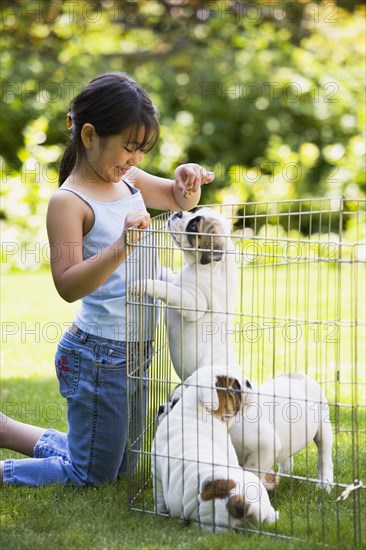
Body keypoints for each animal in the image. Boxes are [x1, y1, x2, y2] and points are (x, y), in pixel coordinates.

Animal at [129, 208, 237, 384]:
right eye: (194, 212)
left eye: (193, 226)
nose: (179, 213)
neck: (210, 266)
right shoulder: (177, 280)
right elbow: (170, 278)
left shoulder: (194, 303)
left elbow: (169, 289)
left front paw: (144, 285)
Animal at [151, 368, 278, 532]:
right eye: (236, 387)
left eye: (174, 401)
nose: (249, 383)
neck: (193, 411)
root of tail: (234, 502)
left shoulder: (156, 470)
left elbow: (159, 497)